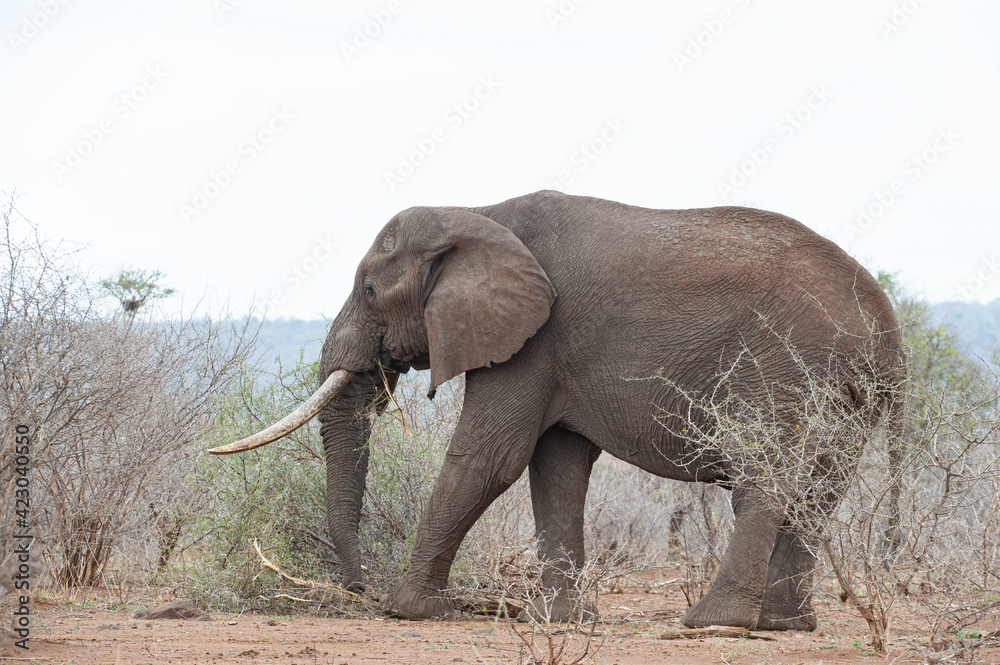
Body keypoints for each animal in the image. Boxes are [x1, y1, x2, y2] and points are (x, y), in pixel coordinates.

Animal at [210, 190, 906, 630]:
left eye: (371, 290)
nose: (356, 587)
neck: (479, 213)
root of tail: (886, 325)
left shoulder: (537, 336)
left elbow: (491, 457)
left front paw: (406, 610)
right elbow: (557, 469)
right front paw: (565, 621)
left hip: (782, 367)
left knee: (766, 477)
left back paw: (713, 624)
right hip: (841, 391)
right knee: (818, 490)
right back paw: (785, 626)